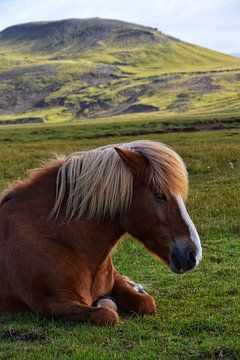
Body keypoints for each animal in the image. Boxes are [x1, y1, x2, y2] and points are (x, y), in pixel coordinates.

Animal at [0, 139, 202, 324]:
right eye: (159, 195)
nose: (193, 255)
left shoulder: (114, 280)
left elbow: (147, 303)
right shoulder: (55, 305)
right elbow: (108, 314)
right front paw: (106, 303)